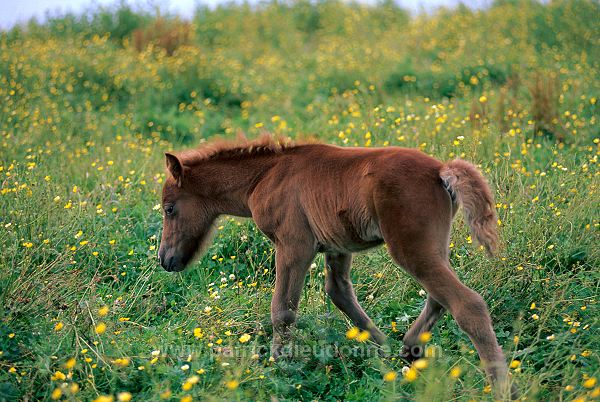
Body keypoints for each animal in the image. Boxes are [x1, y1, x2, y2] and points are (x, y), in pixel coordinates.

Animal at [158, 135, 516, 396]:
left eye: (169, 208)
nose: (164, 260)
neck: (265, 176)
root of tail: (441, 170)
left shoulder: (294, 245)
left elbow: (282, 309)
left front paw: (277, 369)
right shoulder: (337, 245)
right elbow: (338, 292)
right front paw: (383, 350)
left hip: (410, 248)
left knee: (466, 302)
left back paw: (502, 388)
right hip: (432, 246)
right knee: (439, 297)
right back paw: (409, 349)